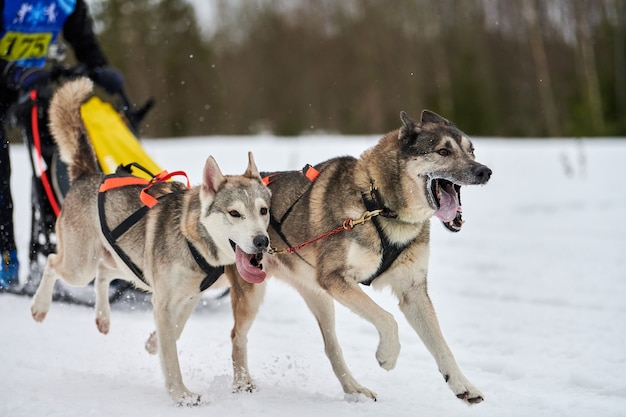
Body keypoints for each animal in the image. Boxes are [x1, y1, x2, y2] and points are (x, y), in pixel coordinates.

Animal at [30, 77, 270, 404]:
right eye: (235, 213)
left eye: (263, 210)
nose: (262, 241)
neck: (193, 241)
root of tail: (87, 175)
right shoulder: (164, 300)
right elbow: (171, 354)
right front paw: (181, 395)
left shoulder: (187, 297)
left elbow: (175, 331)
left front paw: (153, 343)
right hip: (80, 266)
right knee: (54, 262)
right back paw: (40, 307)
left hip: (123, 263)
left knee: (103, 274)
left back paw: (103, 318)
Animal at [227, 109, 490, 404]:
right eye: (443, 151)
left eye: (472, 150)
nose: (484, 171)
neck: (378, 205)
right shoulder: (336, 279)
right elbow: (387, 319)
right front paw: (387, 356)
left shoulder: (413, 291)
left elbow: (441, 344)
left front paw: (462, 384)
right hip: (253, 293)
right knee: (237, 337)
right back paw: (242, 384)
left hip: (319, 297)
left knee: (332, 347)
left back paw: (354, 389)